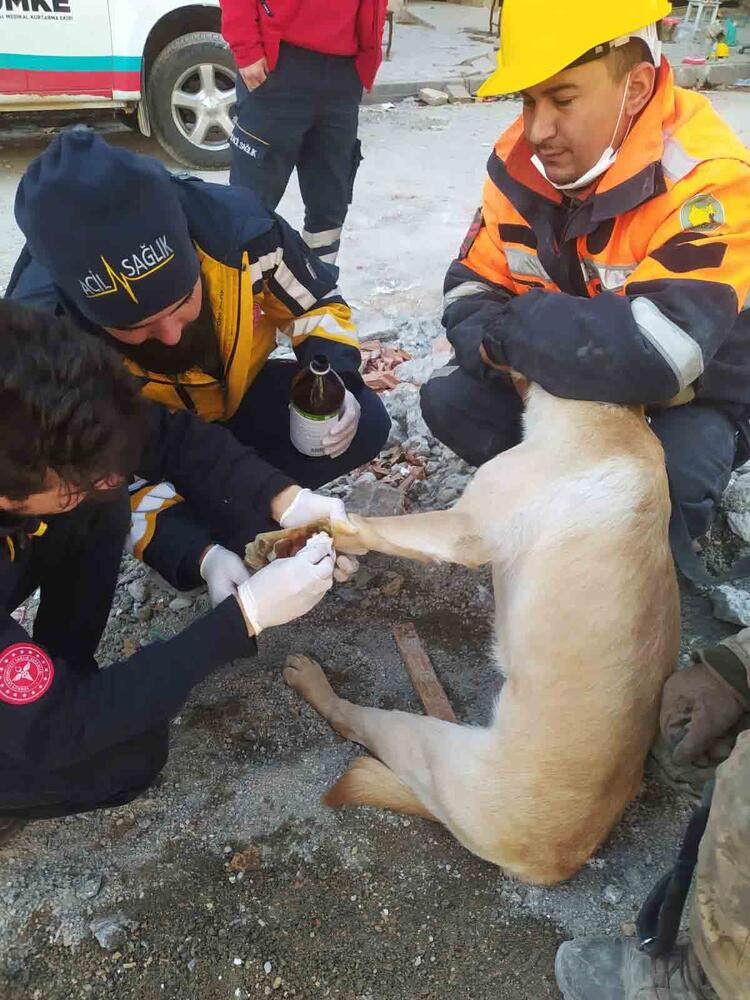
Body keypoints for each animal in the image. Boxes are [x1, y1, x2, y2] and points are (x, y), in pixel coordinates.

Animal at [282, 382, 680, 884]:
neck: (613, 418)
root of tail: (557, 860)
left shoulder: (464, 529)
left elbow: (380, 528)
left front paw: (335, 526)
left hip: (427, 743)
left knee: (352, 721)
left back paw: (315, 685)